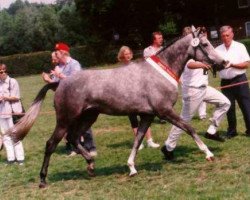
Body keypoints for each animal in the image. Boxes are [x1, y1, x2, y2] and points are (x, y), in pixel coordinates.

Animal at [7, 27, 228, 187]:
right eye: (205, 44)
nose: (224, 62)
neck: (161, 71)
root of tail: (60, 83)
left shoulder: (147, 116)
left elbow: (138, 140)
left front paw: (131, 168)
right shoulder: (165, 111)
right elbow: (188, 128)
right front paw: (208, 154)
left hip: (88, 117)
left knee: (74, 138)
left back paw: (91, 165)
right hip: (65, 119)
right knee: (51, 144)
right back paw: (43, 180)